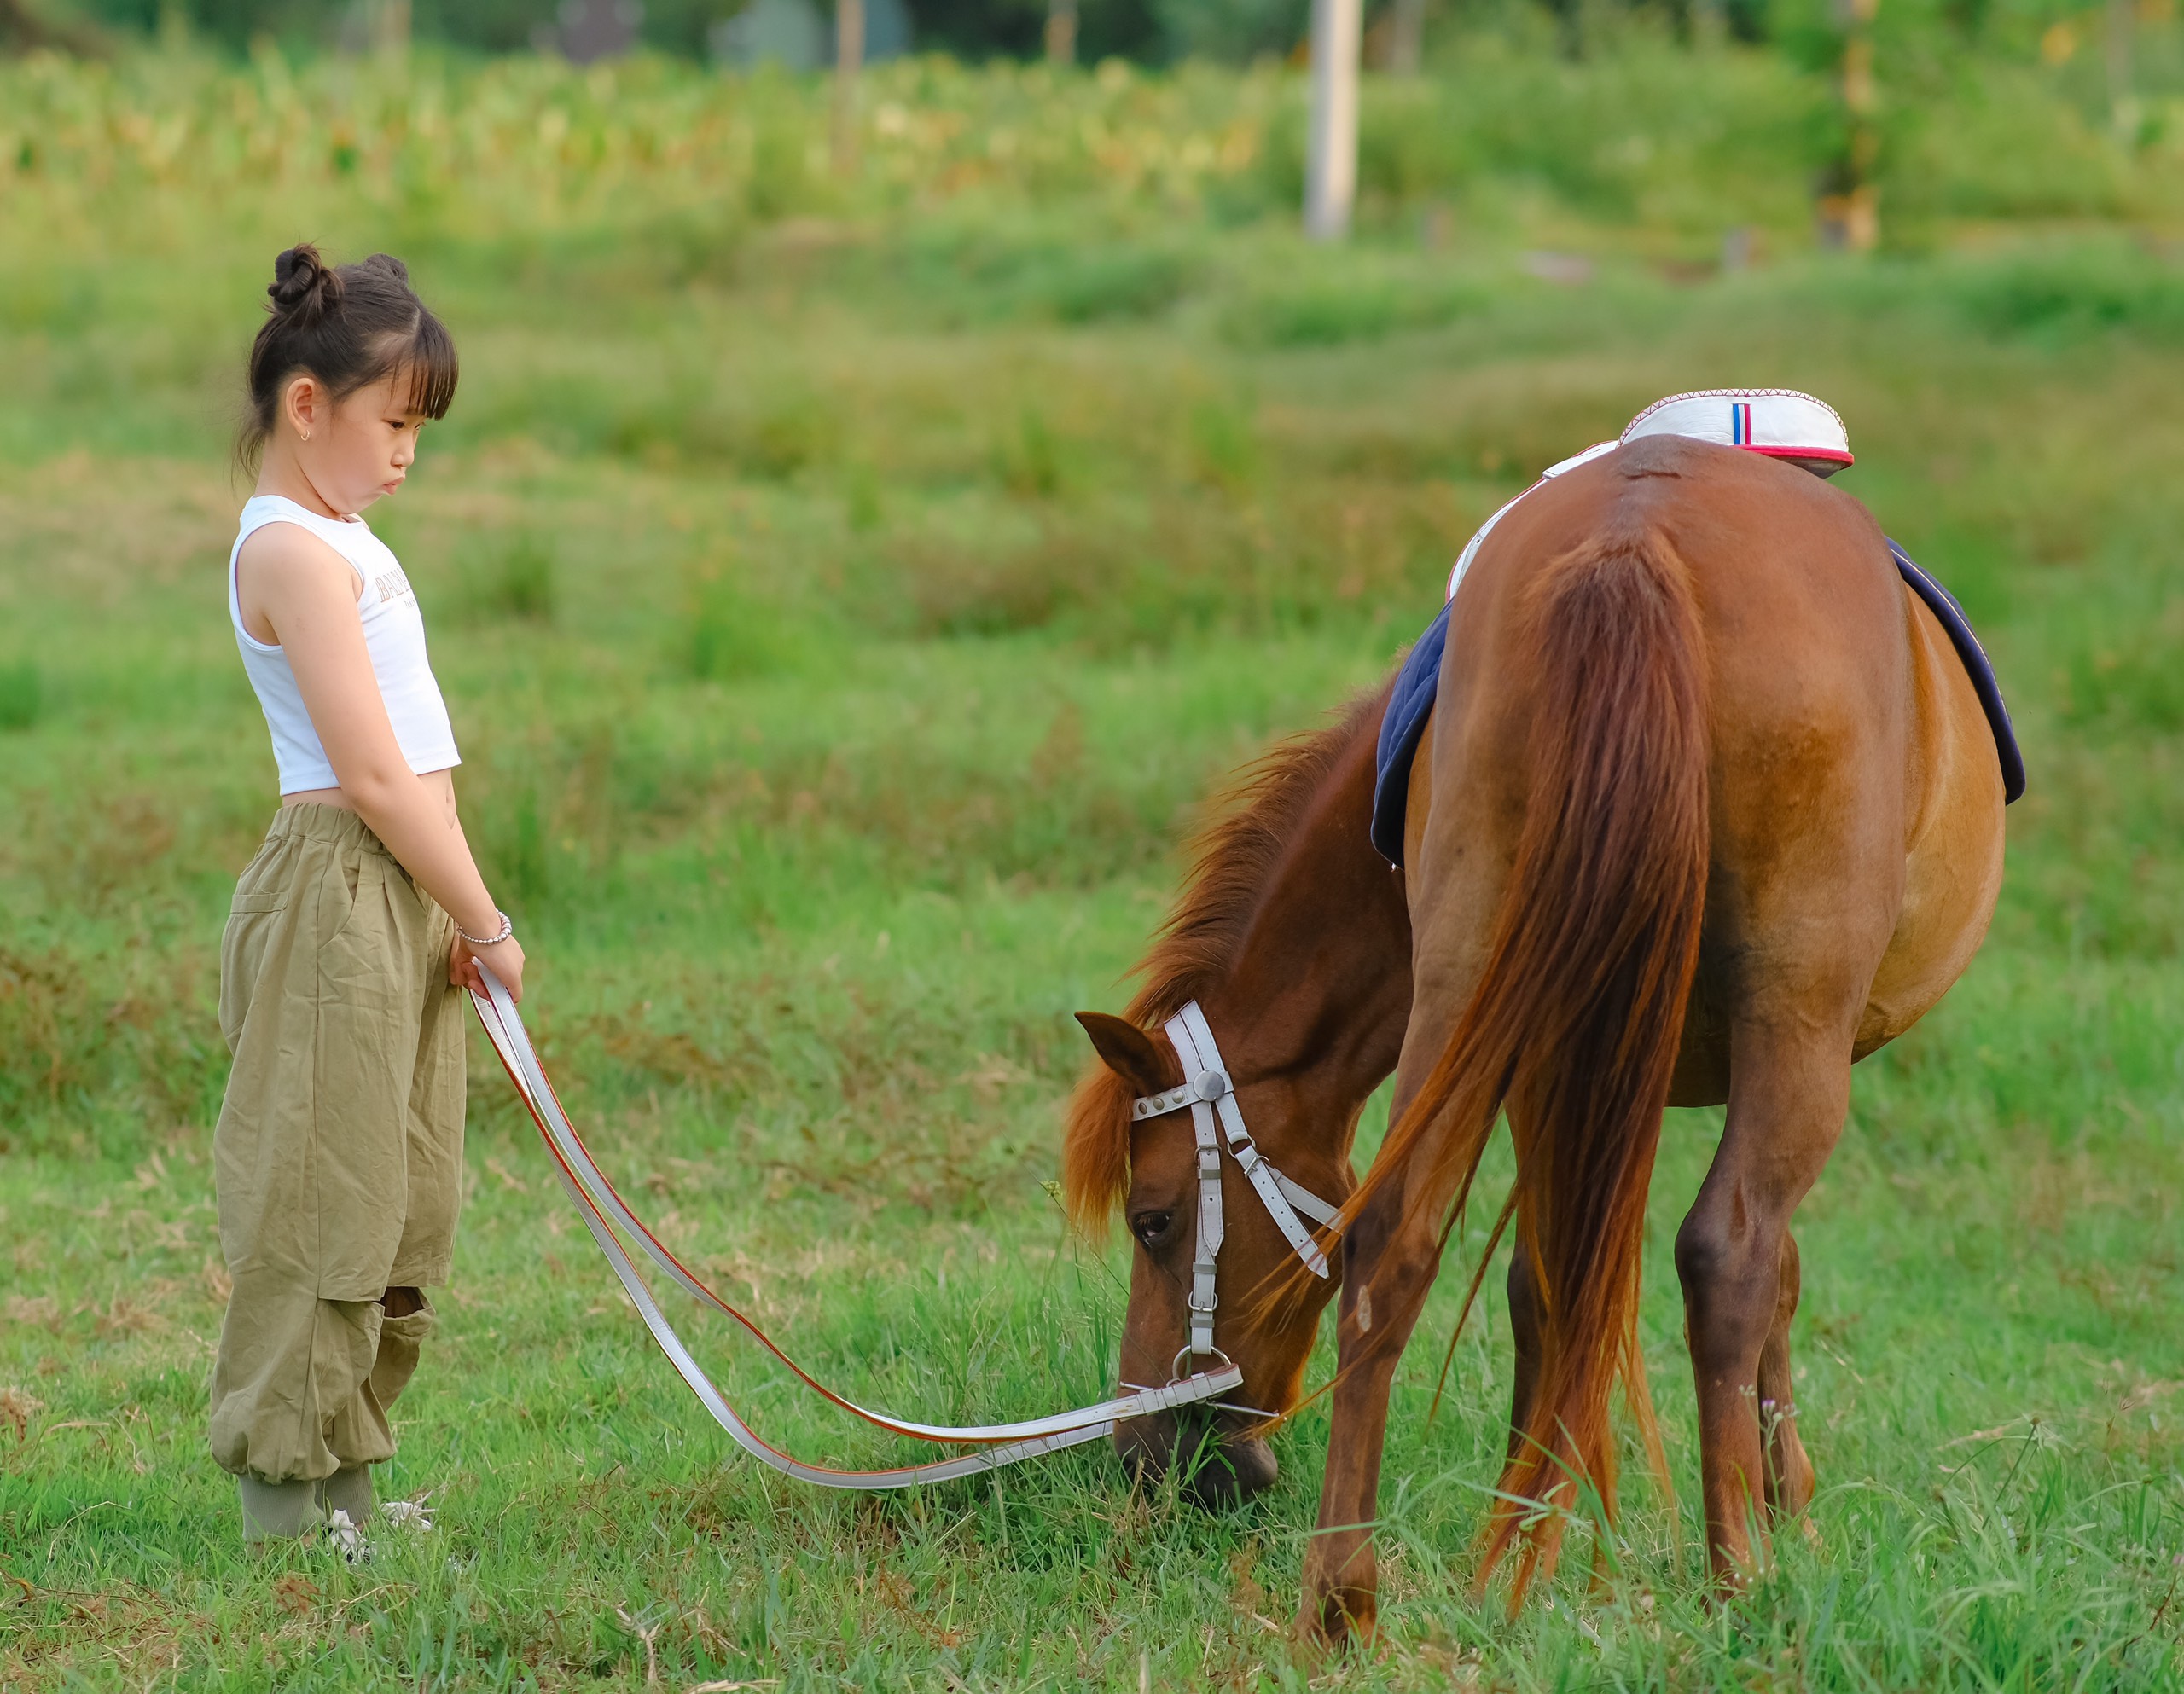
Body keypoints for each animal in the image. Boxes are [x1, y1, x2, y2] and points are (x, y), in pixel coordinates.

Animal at [1066, 434, 2000, 1641]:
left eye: (1153, 1222)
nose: (1145, 1456)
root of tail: (1637, 537)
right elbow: (1773, 1273)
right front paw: (1784, 1505)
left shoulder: (1541, 1058)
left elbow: (1536, 1284)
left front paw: (1521, 1533)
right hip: (1791, 1016)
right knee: (1729, 1251)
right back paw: (1737, 1577)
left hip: (1468, 970)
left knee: (1393, 1242)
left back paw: (1343, 1593)